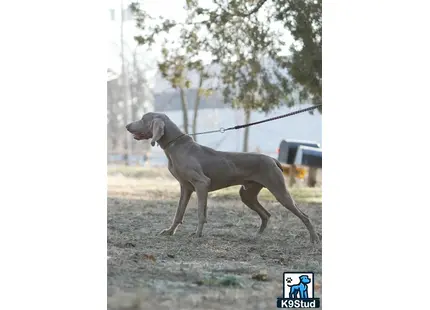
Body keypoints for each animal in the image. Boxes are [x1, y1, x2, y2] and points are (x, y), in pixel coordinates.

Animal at [126, 111, 318, 242]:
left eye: (143, 119)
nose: (127, 125)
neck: (176, 145)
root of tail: (272, 159)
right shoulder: (186, 187)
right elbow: (179, 212)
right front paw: (170, 231)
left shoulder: (201, 184)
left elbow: (200, 213)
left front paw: (197, 234)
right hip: (247, 194)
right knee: (266, 214)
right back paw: (256, 236)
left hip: (279, 191)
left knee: (304, 216)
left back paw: (314, 239)